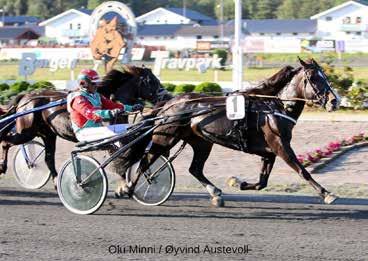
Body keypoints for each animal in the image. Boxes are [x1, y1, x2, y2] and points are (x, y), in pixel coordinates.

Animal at [0, 66, 168, 186]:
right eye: (152, 81)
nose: (166, 96)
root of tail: (26, 97)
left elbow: (132, 151)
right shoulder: (112, 139)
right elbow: (123, 155)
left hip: (48, 134)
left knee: (48, 158)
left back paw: (56, 182)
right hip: (27, 131)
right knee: (5, 142)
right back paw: (2, 166)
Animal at [132, 58, 340, 206]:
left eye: (325, 77)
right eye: (313, 78)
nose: (334, 101)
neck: (275, 107)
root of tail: (169, 103)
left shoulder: (269, 152)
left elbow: (262, 182)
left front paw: (237, 182)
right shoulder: (280, 146)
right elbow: (302, 171)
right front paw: (327, 194)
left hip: (202, 142)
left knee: (195, 168)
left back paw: (216, 194)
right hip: (165, 138)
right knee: (146, 161)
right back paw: (131, 186)